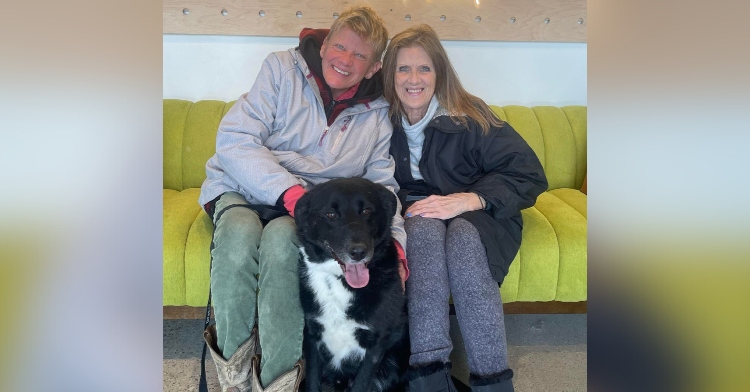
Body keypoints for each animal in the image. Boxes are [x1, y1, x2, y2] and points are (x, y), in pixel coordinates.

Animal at [296, 178, 412, 392]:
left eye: (366, 211)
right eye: (330, 214)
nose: (358, 252)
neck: (338, 281)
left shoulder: (376, 344)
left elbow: (361, 383)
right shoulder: (312, 335)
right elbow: (313, 381)